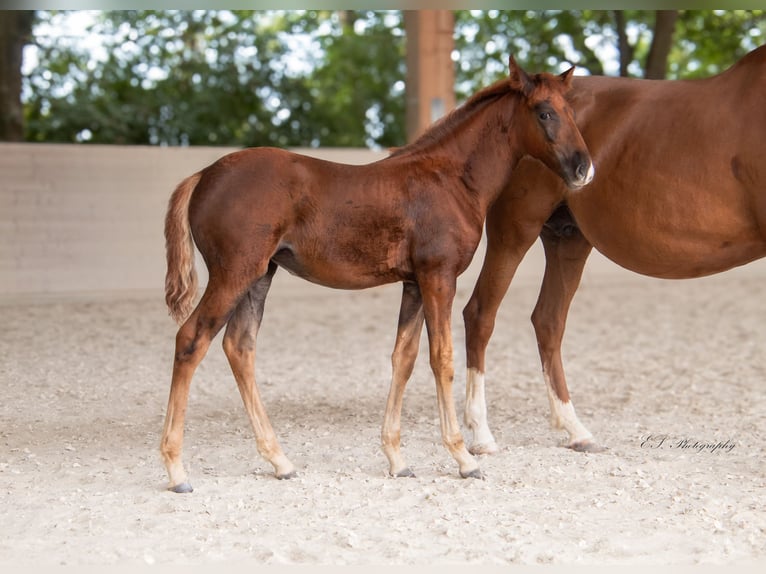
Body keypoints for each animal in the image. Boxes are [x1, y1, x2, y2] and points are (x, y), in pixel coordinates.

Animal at [160, 56, 592, 492]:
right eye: (544, 112)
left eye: (572, 112)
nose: (583, 168)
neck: (451, 177)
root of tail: (203, 176)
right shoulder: (439, 278)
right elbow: (442, 359)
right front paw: (463, 457)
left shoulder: (415, 283)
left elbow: (404, 358)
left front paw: (397, 459)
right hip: (234, 273)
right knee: (191, 340)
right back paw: (177, 470)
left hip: (260, 276)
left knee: (239, 346)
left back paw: (280, 460)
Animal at [462, 45, 766, 456]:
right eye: (545, 114)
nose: (584, 166)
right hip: (514, 232)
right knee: (481, 315)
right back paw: (481, 435)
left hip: (568, 240)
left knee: (548, 320)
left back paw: (575, 430)